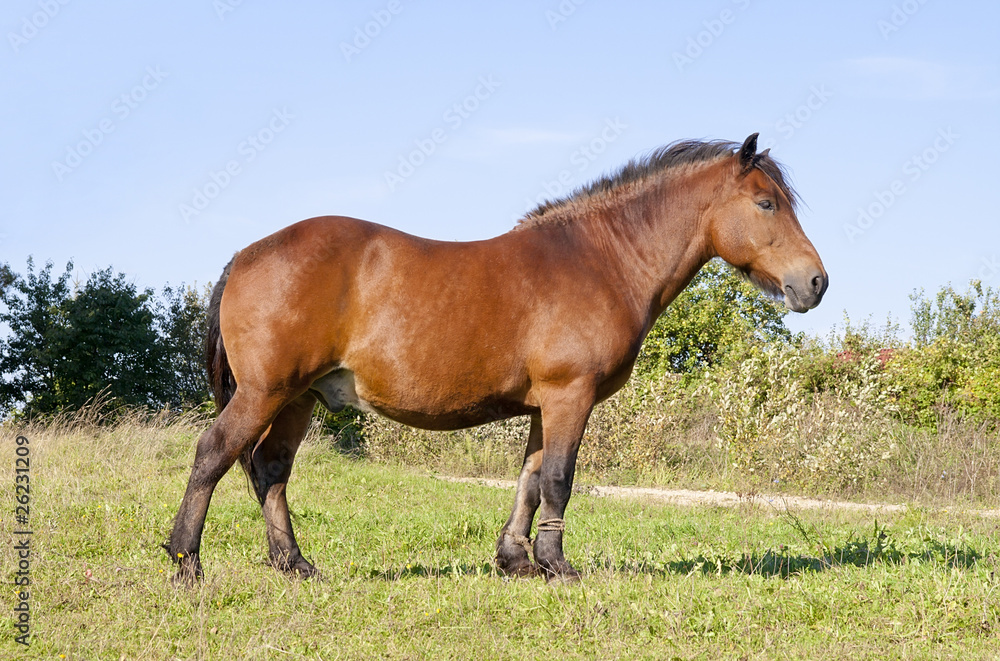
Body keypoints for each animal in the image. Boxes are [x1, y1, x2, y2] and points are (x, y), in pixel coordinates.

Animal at [166, 133, 828, 584]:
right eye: (766, 203)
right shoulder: (569, 395)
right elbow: (559, 479)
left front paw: (517, 560)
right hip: (266, 392)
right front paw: (558, 565)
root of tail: (246, 254)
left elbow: (530, 481)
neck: (601, 259)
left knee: (270, 469)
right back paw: (186, 562)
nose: (816, 283)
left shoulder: (545, 404)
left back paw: (294, 564)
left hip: (300, 397)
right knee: (214, 456)